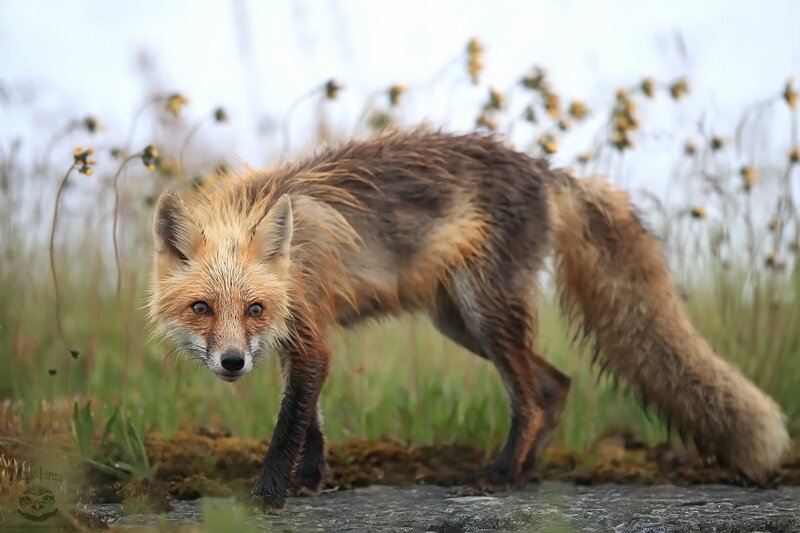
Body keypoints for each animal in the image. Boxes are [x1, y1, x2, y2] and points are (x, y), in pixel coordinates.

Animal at [149, 129, 789, 512]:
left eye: (253, 308)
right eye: (201, 308)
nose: (232, 363)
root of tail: (547, 170)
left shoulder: (307, 333)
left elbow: (289, 425)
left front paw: (266, 495)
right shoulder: (296, 340)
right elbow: (314, 422)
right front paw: (309, 481)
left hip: (484, 313)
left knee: (529, 397)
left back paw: (499, 475)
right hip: (460, 322)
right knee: (556, 384)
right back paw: (525, 472)